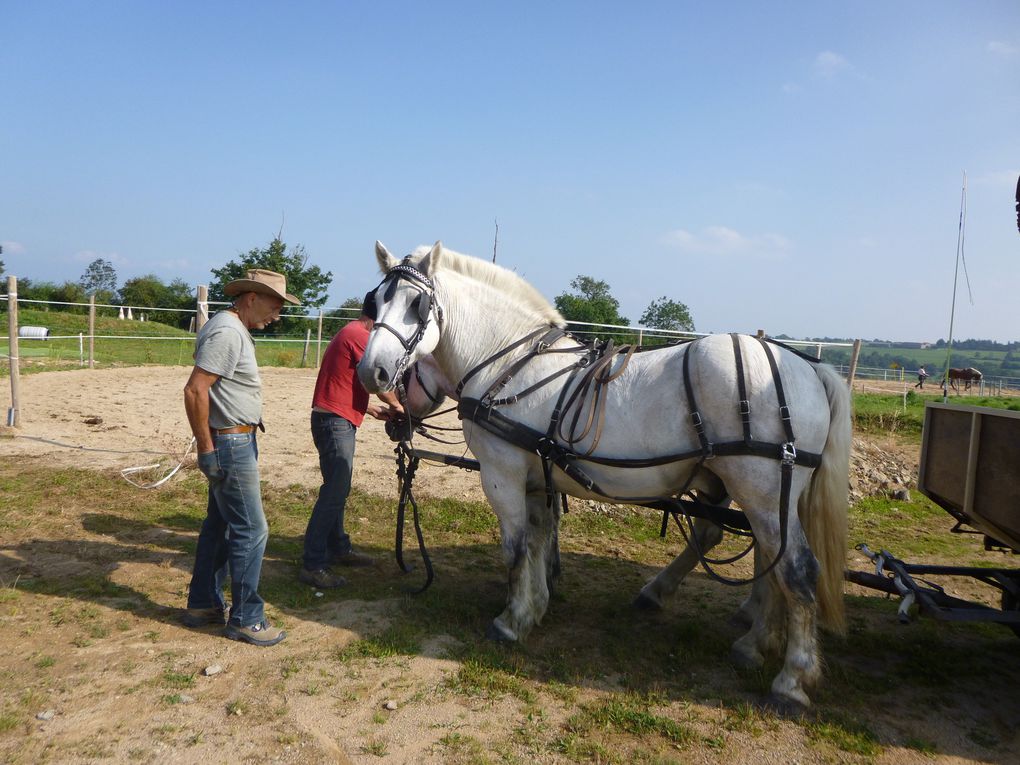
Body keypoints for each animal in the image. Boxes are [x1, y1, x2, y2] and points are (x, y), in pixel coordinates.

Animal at [359, 240, 852, 714]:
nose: (371, 373)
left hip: (764, 492)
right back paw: (751, 642)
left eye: (417, 305)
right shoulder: (537, 478)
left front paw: (510, 621)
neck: (510, 362)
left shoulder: (502, 474)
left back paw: (791, 682)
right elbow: (539, 541)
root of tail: (808, 367)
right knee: (766, 562)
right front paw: (536, 607)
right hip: (760, 496)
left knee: (796, 571)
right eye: (375, 301)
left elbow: (515, 548)